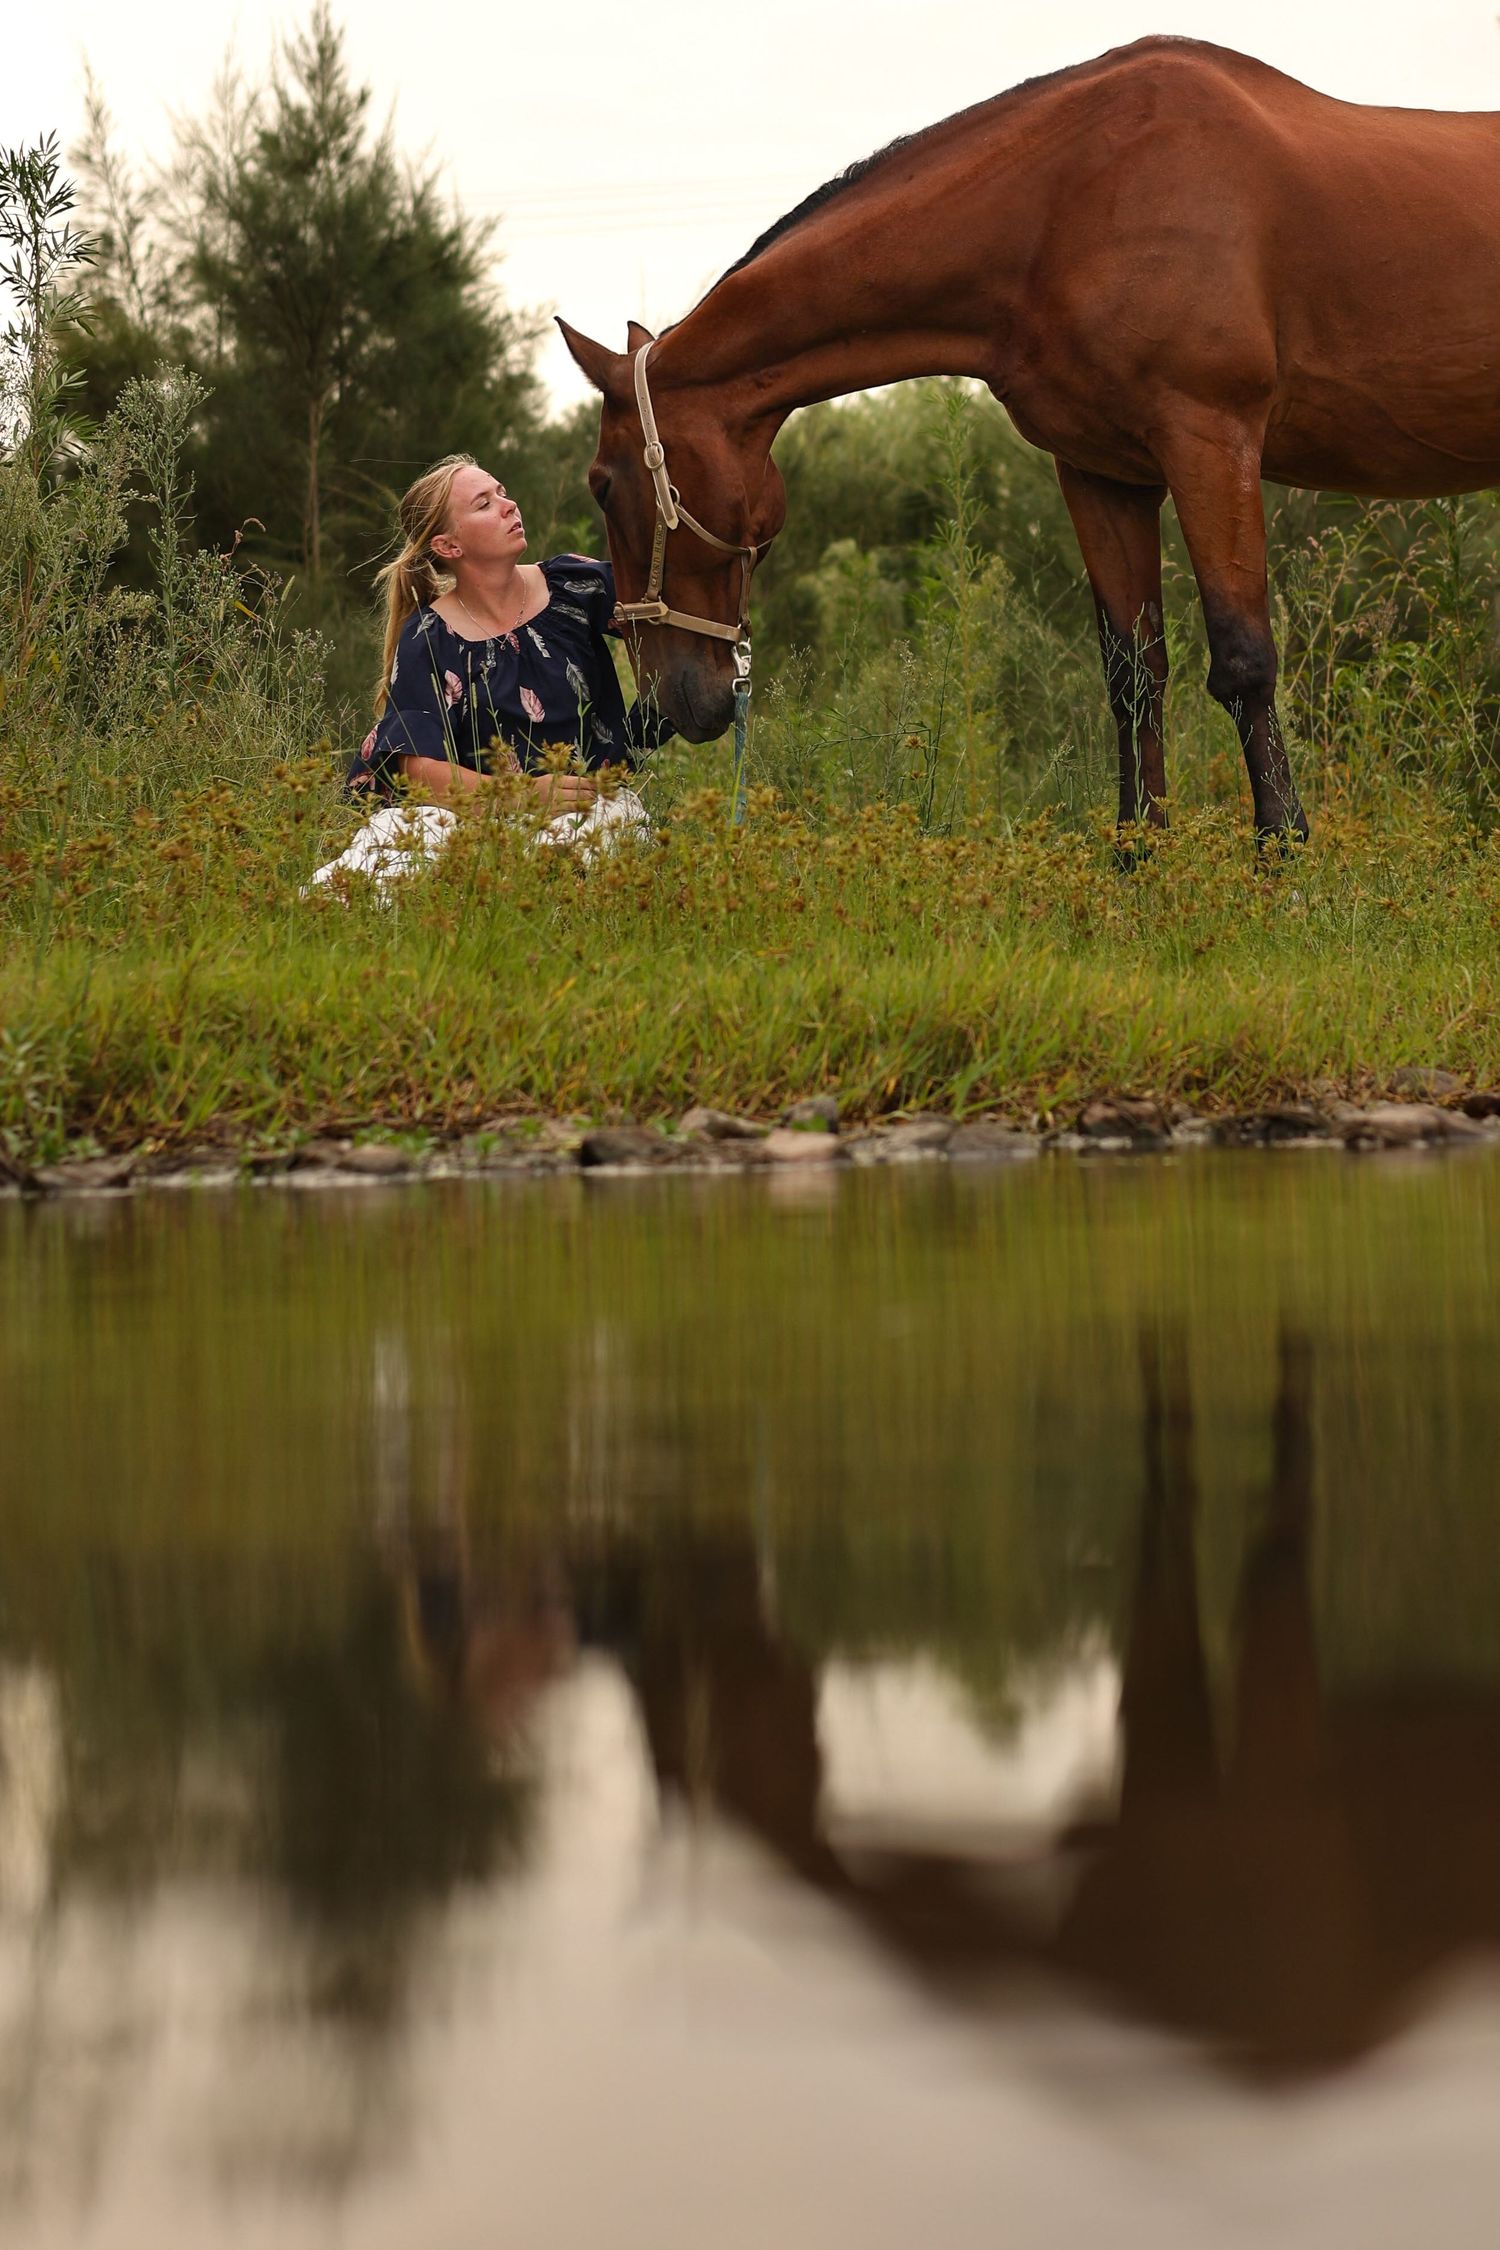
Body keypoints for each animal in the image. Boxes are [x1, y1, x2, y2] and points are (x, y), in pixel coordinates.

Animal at [560, 35, 1500, 845]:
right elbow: (1133, 678)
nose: (670, 704)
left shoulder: (1210, 442)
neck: (1068, 202)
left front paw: (1284, 860)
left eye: (603, 482)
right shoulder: (1101, 472)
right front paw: (1137, 862)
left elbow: (1243, 662)